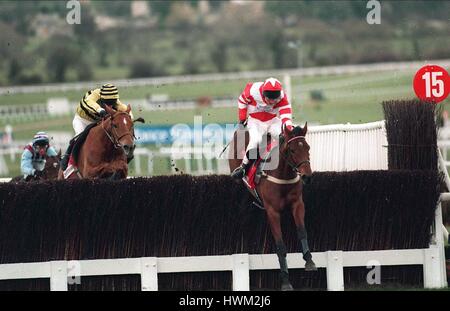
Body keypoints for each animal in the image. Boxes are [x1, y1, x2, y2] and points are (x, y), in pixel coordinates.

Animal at [229, 123, 316, 292]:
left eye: (308, 147)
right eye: (292, 150)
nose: (307, 177)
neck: (283, 174)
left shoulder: (297, 204)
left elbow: (302, 231)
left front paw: (309, 260)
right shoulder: (273, 211)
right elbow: (280, 245)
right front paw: (286, 280)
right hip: (238, 179)